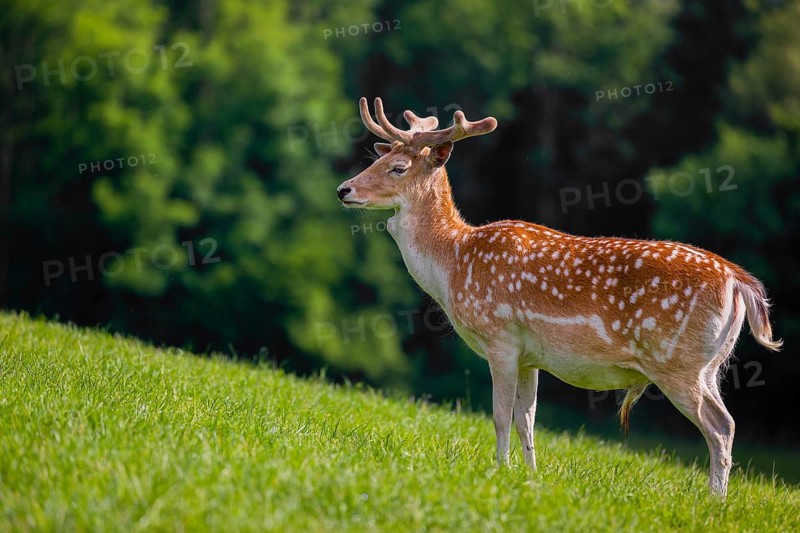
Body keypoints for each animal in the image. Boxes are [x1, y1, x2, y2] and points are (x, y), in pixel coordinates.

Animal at [336, 97, 782, 498]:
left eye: (398, 167)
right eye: (376, 158)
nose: (344, 189)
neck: (455, 262)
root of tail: (739, 281)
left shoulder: (500, 337)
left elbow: (499, 416)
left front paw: (499, 471)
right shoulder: (529, 355)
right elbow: (527, 420)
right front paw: (530, 477)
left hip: (678, 361)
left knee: (720, 428)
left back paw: (714, 502)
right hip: (709, 365)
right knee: (727, 422)